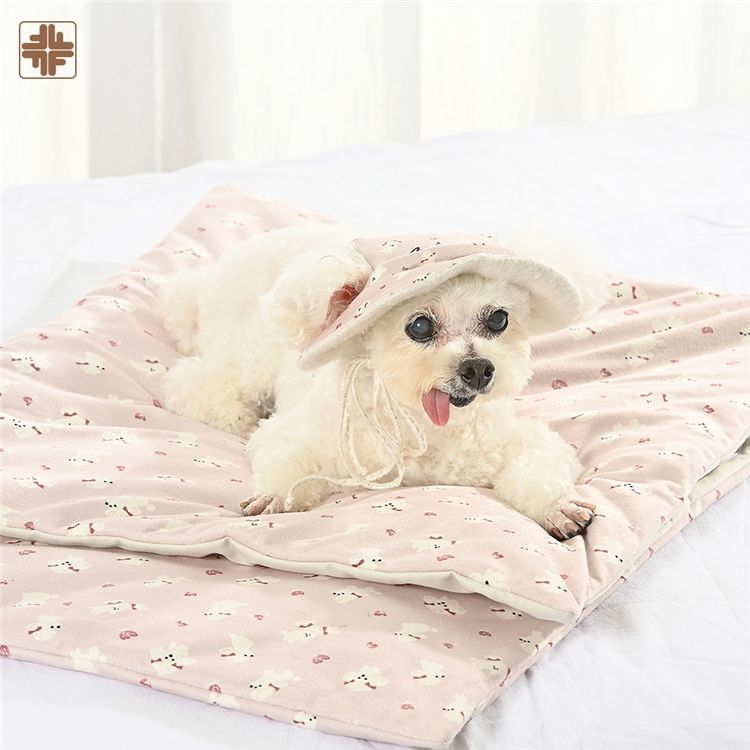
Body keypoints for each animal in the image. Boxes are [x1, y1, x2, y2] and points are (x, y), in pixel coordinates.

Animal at [159, 224, 604, 540]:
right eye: (420, 326)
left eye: (498, 319)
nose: (478, 368)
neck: (418, 424)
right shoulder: (296, 434)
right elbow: (285, 458)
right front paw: (275, 494)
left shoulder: (515, 442)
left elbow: (538, 465)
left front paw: (558, 507)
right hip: (251, 357)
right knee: (190, 384)